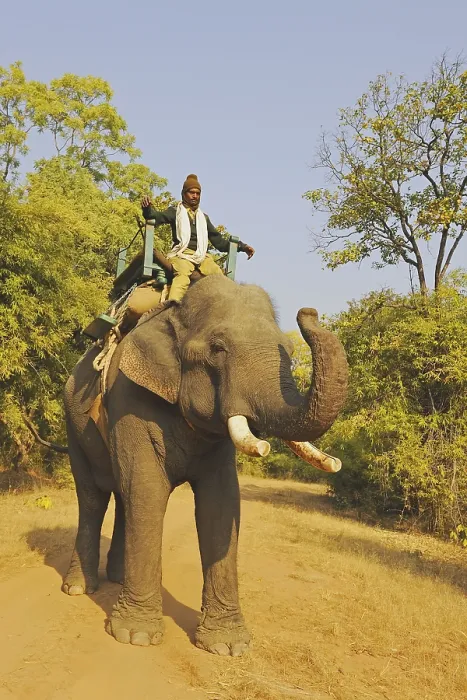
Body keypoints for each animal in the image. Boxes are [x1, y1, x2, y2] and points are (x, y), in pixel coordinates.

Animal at [62, 274, 348, 656]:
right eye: (218, 348)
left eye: (288, 350)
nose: (309, 312)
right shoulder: (128, 398)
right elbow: (147, 489)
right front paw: (135, 637)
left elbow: (221, 502)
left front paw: (228, 647)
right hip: (73, 424)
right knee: (93, 498)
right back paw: (80, 588)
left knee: (123, 496)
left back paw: (118, 578)